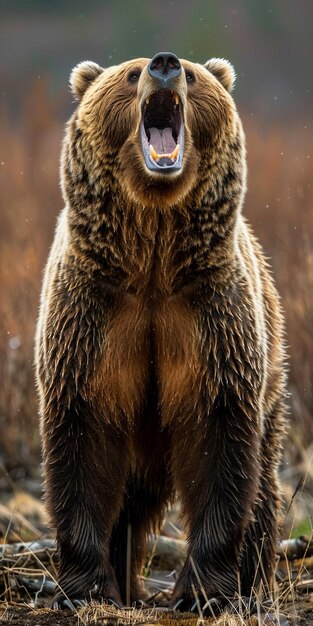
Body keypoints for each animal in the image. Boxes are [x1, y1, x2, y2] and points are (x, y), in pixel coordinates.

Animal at [35, 52, 286, 608]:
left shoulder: (209, 316)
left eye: (192, 74)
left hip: (273, 374)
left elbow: (220, 440)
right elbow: (83, 436)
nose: (165, 63)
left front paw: (204, 589)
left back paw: (253, 578)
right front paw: (88, 585)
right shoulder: (94, 314)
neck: (152, 251)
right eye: (131, 74)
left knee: (263, 483)